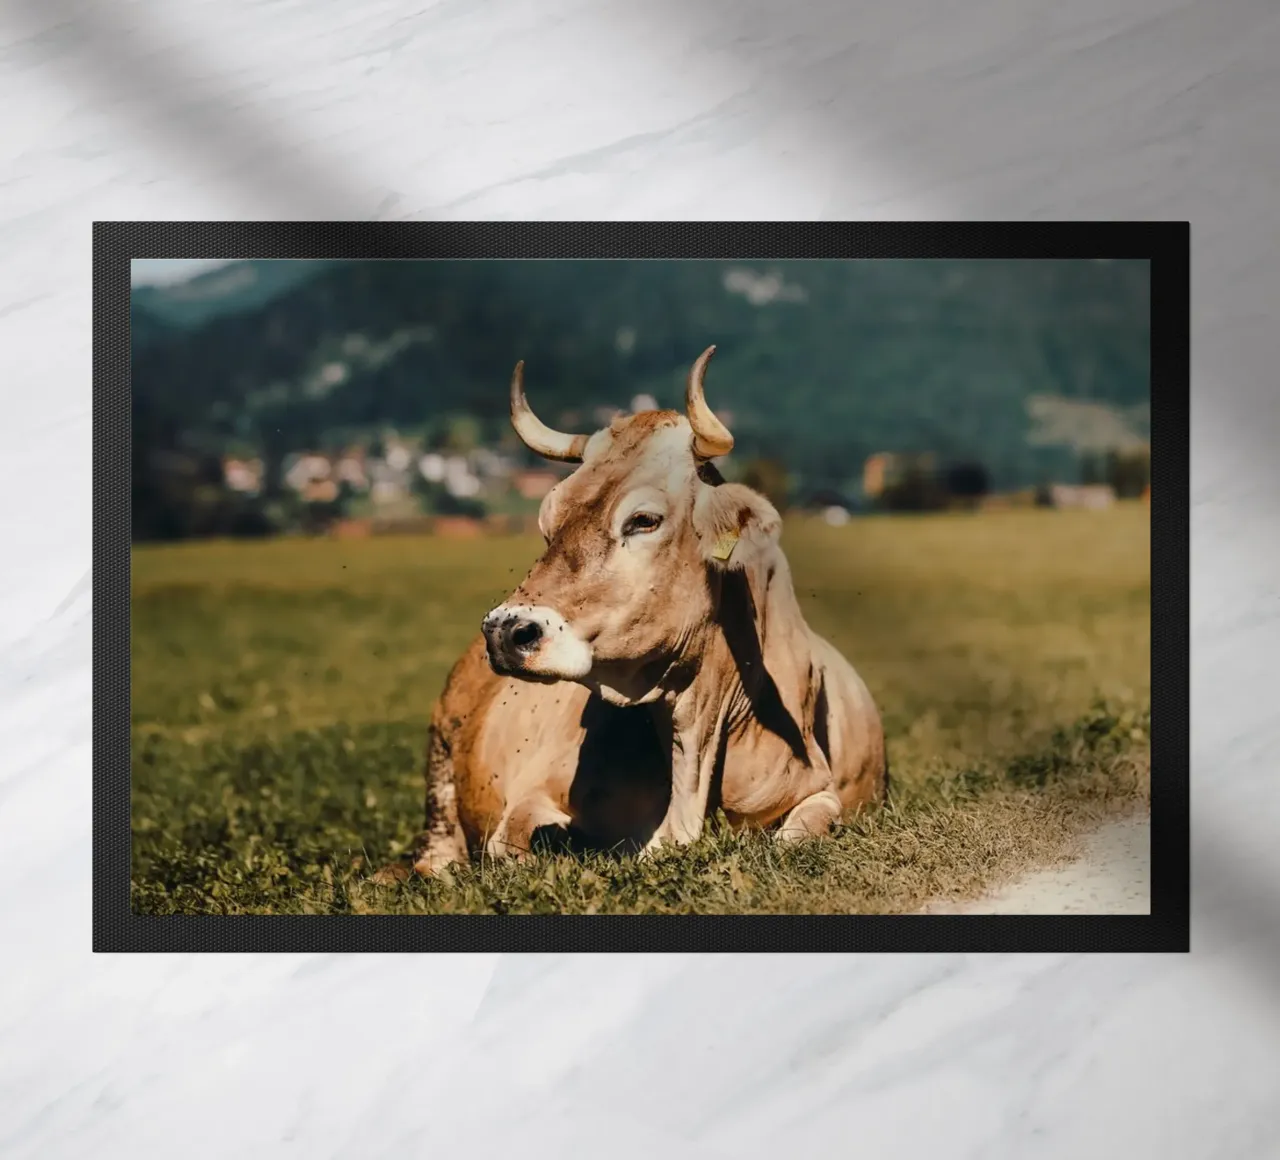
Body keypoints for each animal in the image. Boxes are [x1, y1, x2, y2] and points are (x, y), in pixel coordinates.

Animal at [411, 346, 886, 875]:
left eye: (643, 520)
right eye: (548, 517)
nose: (506, 629)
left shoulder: (819, 792)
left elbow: (800, 832)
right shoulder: (525, 803)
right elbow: (520, 844)